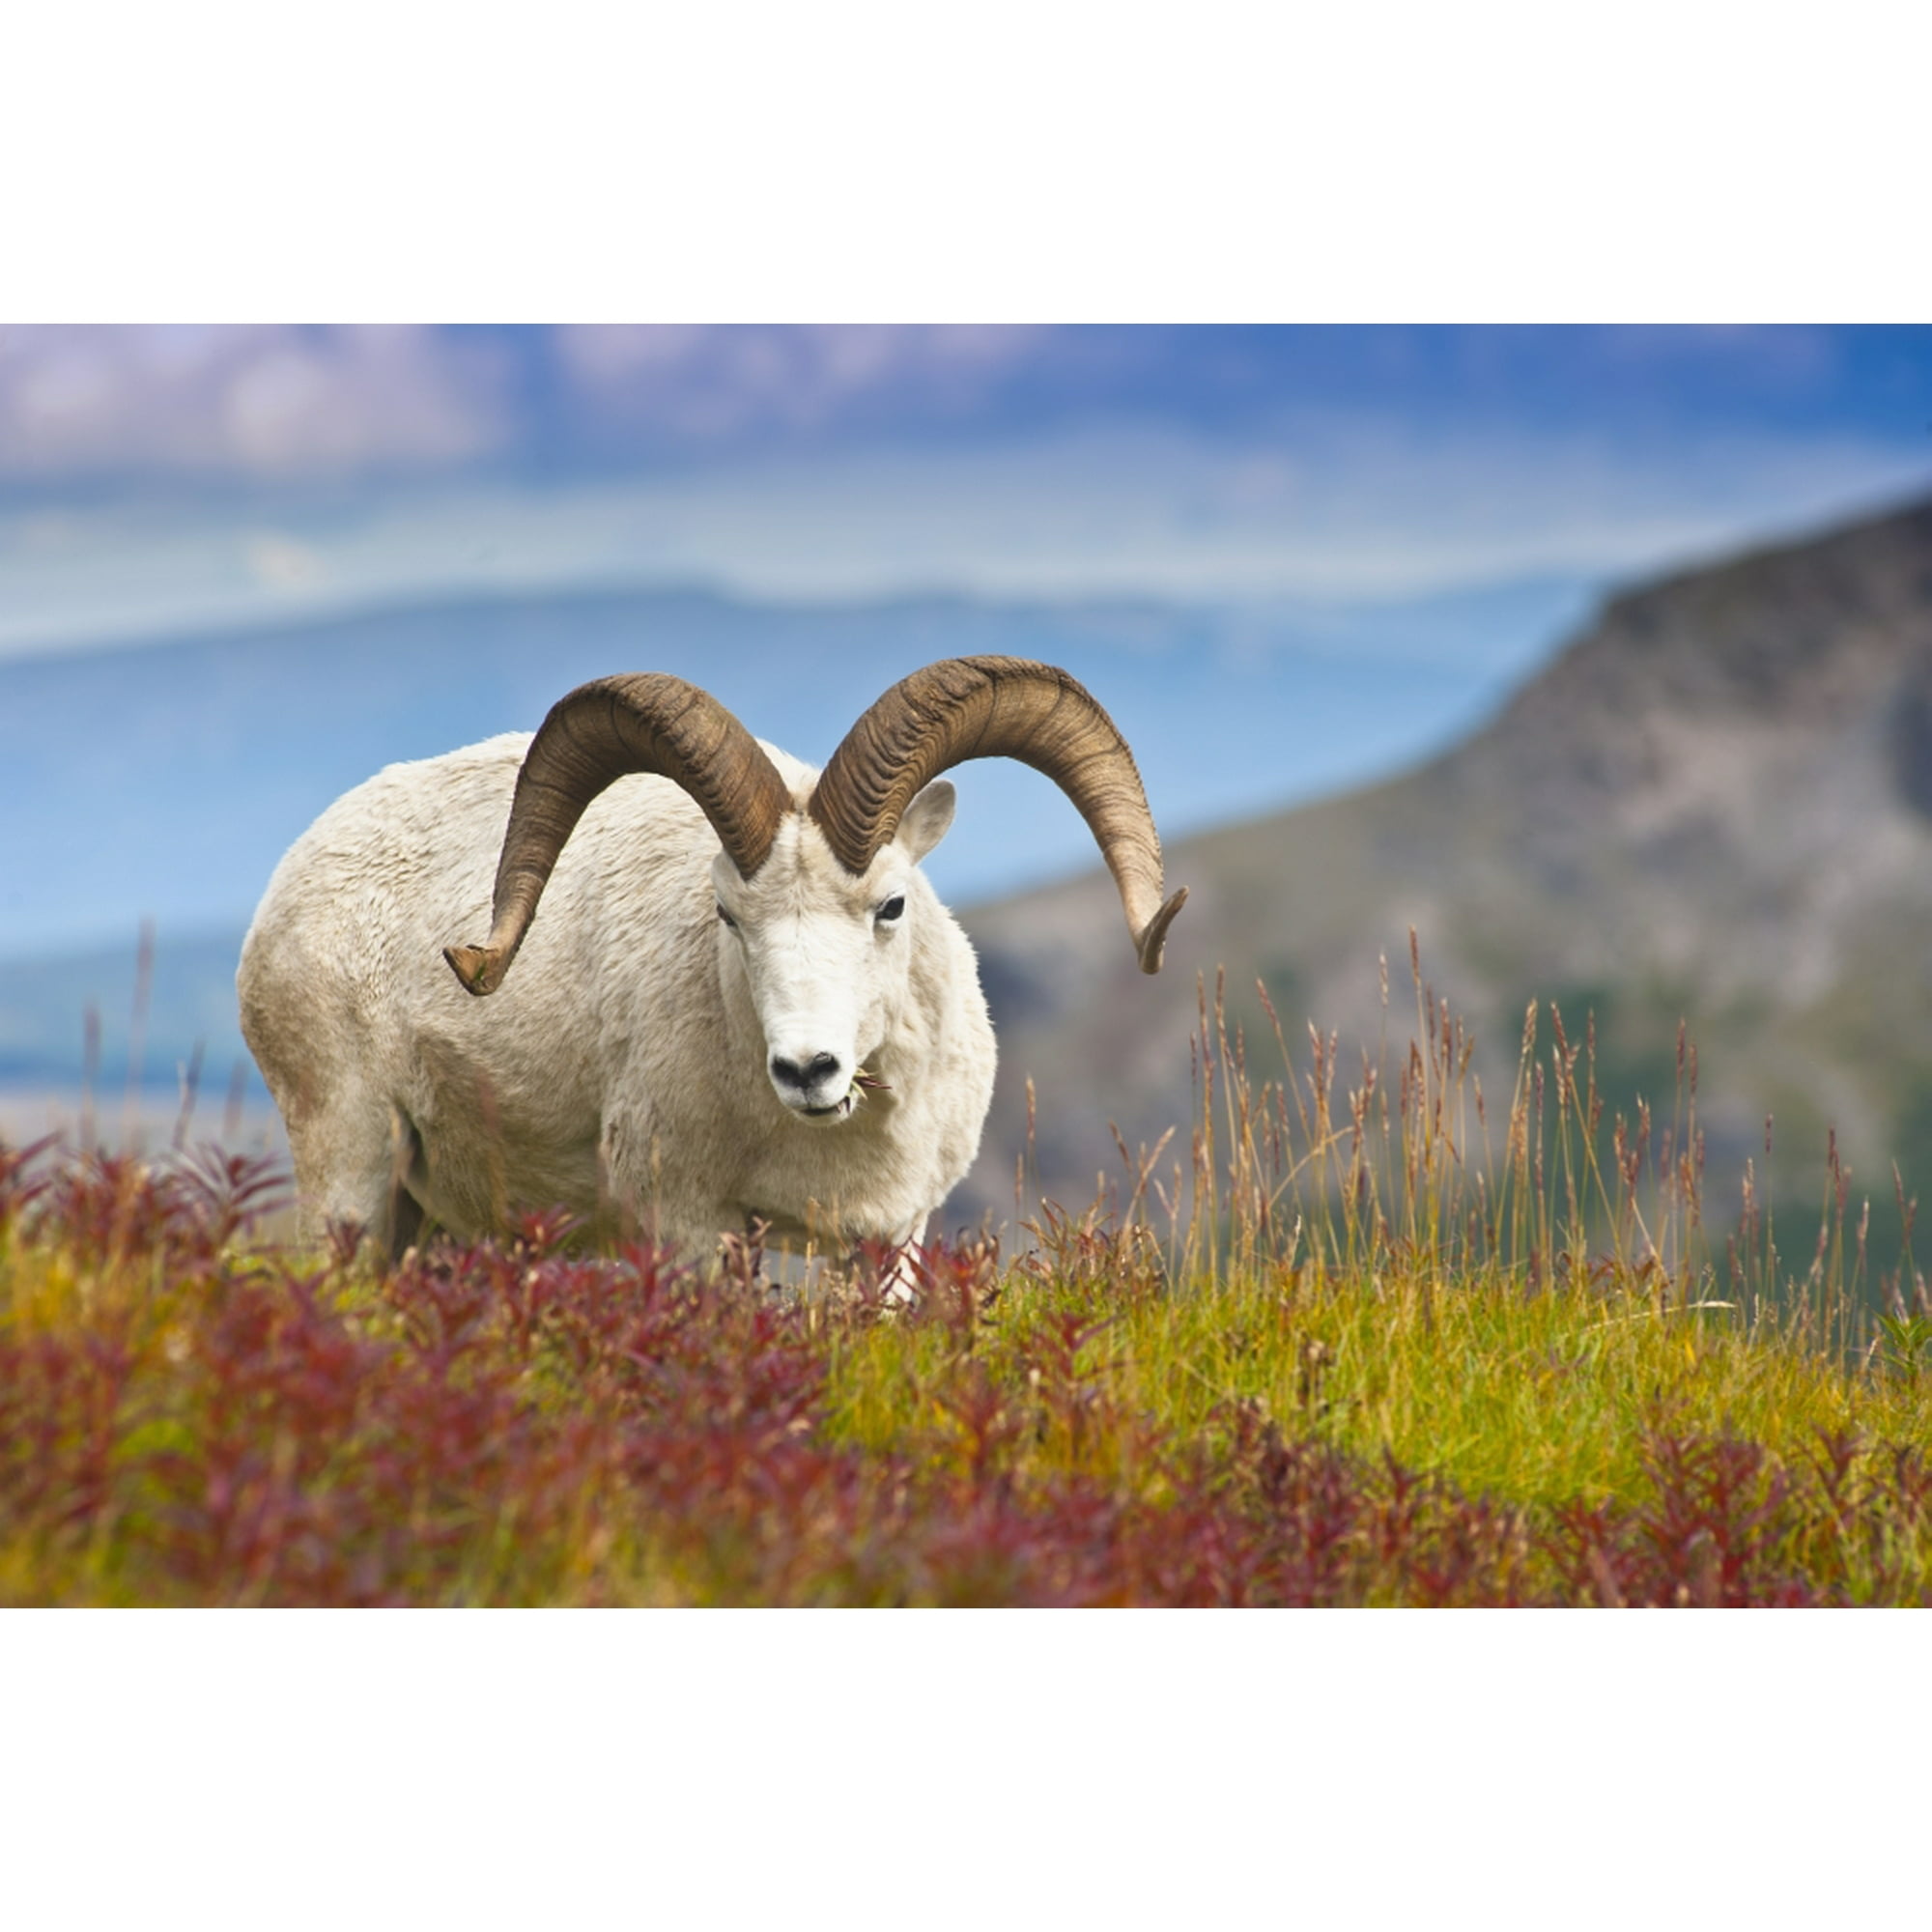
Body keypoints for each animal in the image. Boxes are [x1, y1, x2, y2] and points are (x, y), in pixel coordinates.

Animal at [238, 654, 1187, 1267]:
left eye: (890, 905)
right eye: (728, 913)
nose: (808, 1070)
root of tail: (292, 875)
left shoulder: (889, 1244)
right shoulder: (692, 1229)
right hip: (349, 1167)